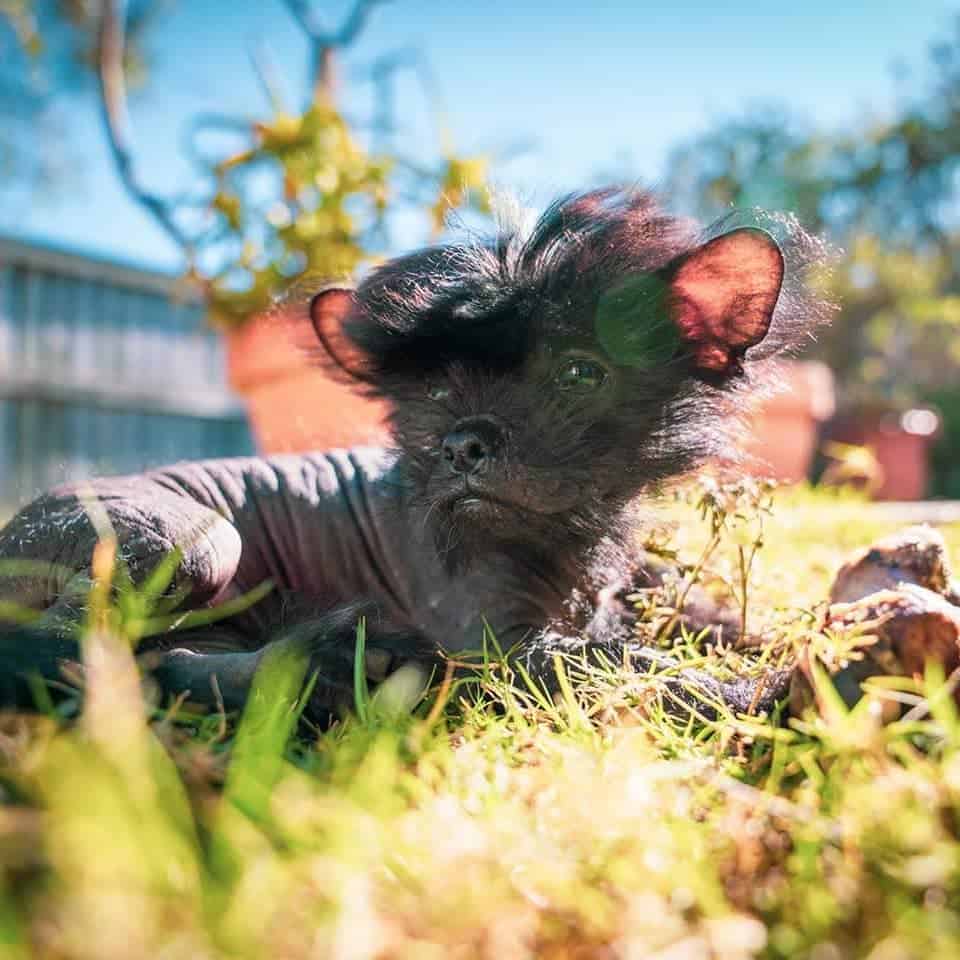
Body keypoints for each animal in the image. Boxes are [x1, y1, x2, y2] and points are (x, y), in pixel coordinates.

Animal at [0, 188, 824, 720]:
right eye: (432, 393)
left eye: (579, 374)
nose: (464, 442)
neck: (565, 545)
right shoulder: (501, 646)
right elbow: (618, 662)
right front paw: (760, 690)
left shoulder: (628, 588)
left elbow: (707, 611)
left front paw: (796, 634)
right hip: (197, 540)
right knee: (82, 650)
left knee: (159, 661)